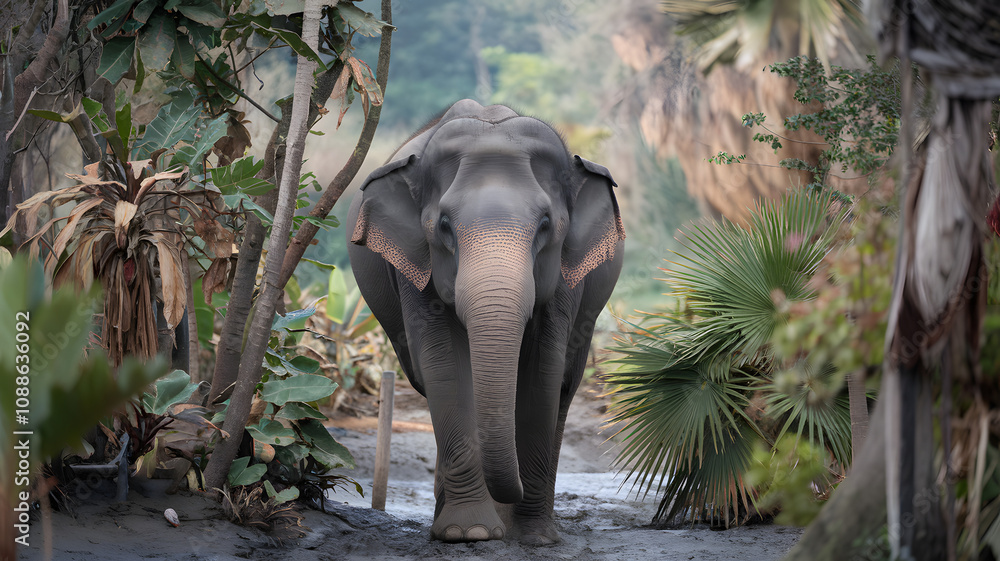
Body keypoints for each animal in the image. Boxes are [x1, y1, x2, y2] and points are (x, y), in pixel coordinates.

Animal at [346, 99, 625, 545]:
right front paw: (469, 532)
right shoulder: (416, 268)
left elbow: (543, 374)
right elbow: (444, 365)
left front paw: (532, 538)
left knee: (565, 388)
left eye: (545, 224)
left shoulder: (567, 279)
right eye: (444, 225)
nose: (514, 493)